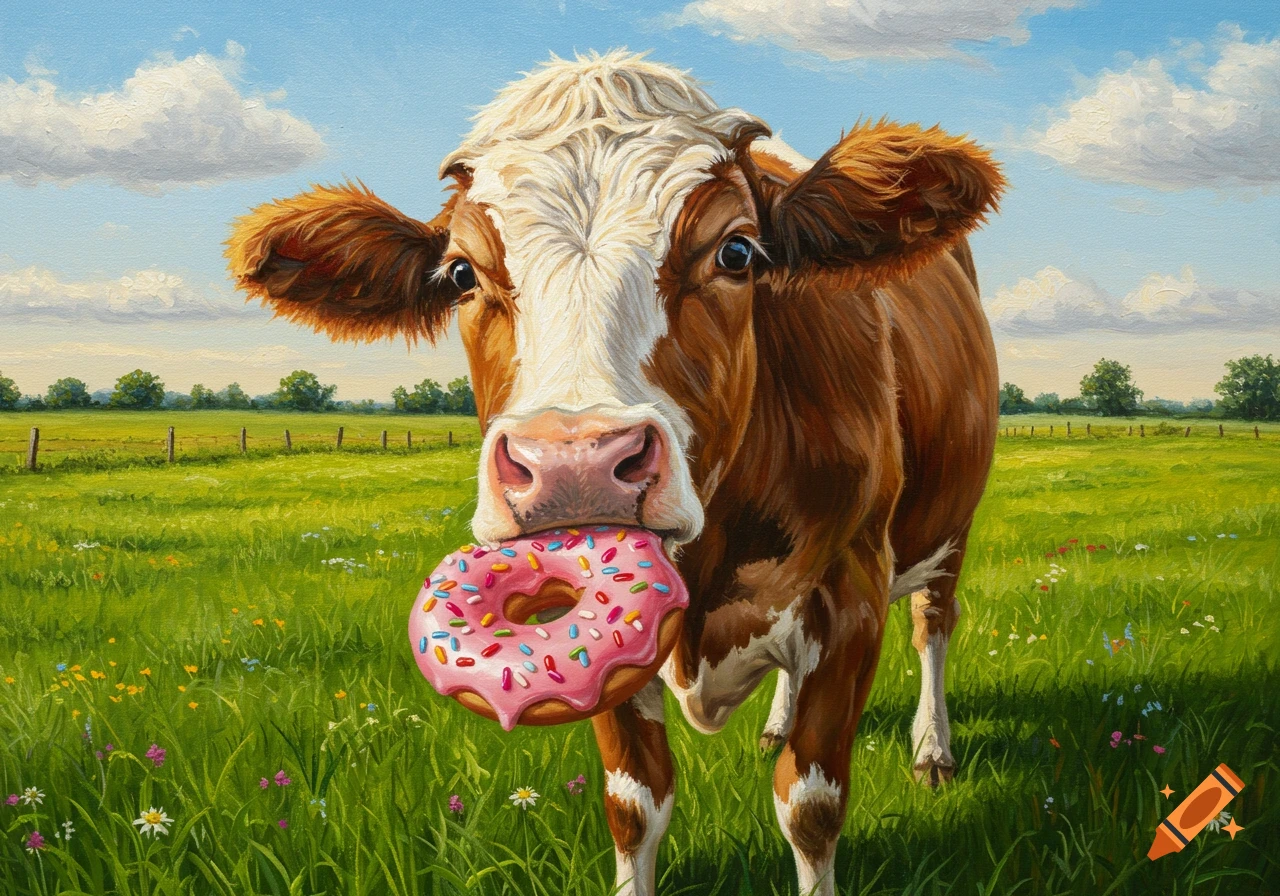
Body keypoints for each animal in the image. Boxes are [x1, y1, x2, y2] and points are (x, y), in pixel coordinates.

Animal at [227, 50, 1003, 896]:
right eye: (462, 273)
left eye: (737, 252)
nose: (576, 462)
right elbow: (635, 806)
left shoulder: (852, 593)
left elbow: (811, 805)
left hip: (951, 529)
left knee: (933, 625)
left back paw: (933, 750)